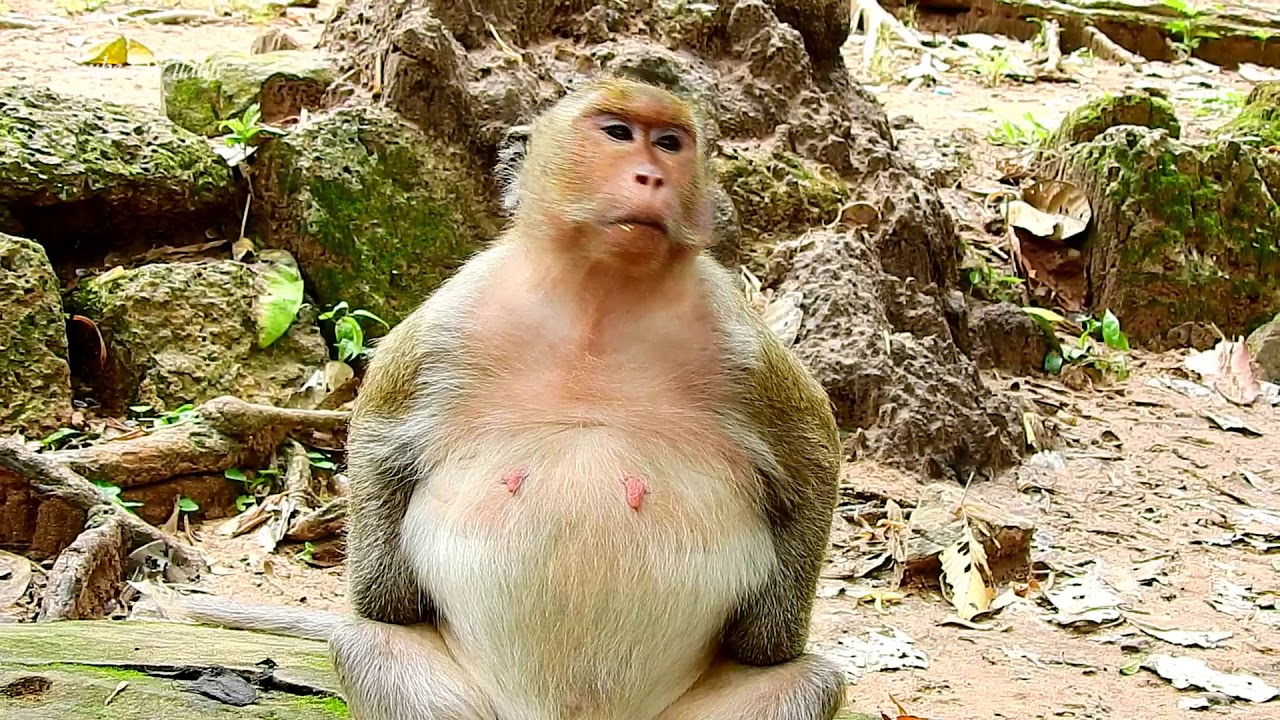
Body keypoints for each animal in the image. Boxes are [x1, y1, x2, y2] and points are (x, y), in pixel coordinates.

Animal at [158, 76, 845, 720]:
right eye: (619, 133)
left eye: (671, 143)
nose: (652, 175)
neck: (601, 298)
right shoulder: (453, 314)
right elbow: (380, 442)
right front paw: (390, 597)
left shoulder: (736, 335)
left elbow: (813, 456)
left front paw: (764, 639)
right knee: (370, 646)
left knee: (808, 683)